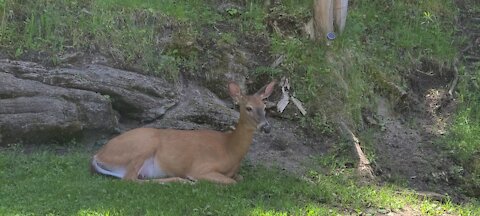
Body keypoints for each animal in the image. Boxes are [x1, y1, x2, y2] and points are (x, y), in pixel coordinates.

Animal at [91, 81, 276, 184]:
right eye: (248, 108)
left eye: (264, 107)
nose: (266, 127)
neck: (230, 149)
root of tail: (98, 155)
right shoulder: (202, 167)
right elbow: (232, 182)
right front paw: (192, 178)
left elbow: (239, 178)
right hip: (144, 144)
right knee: (129, 179)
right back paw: (183, 180)